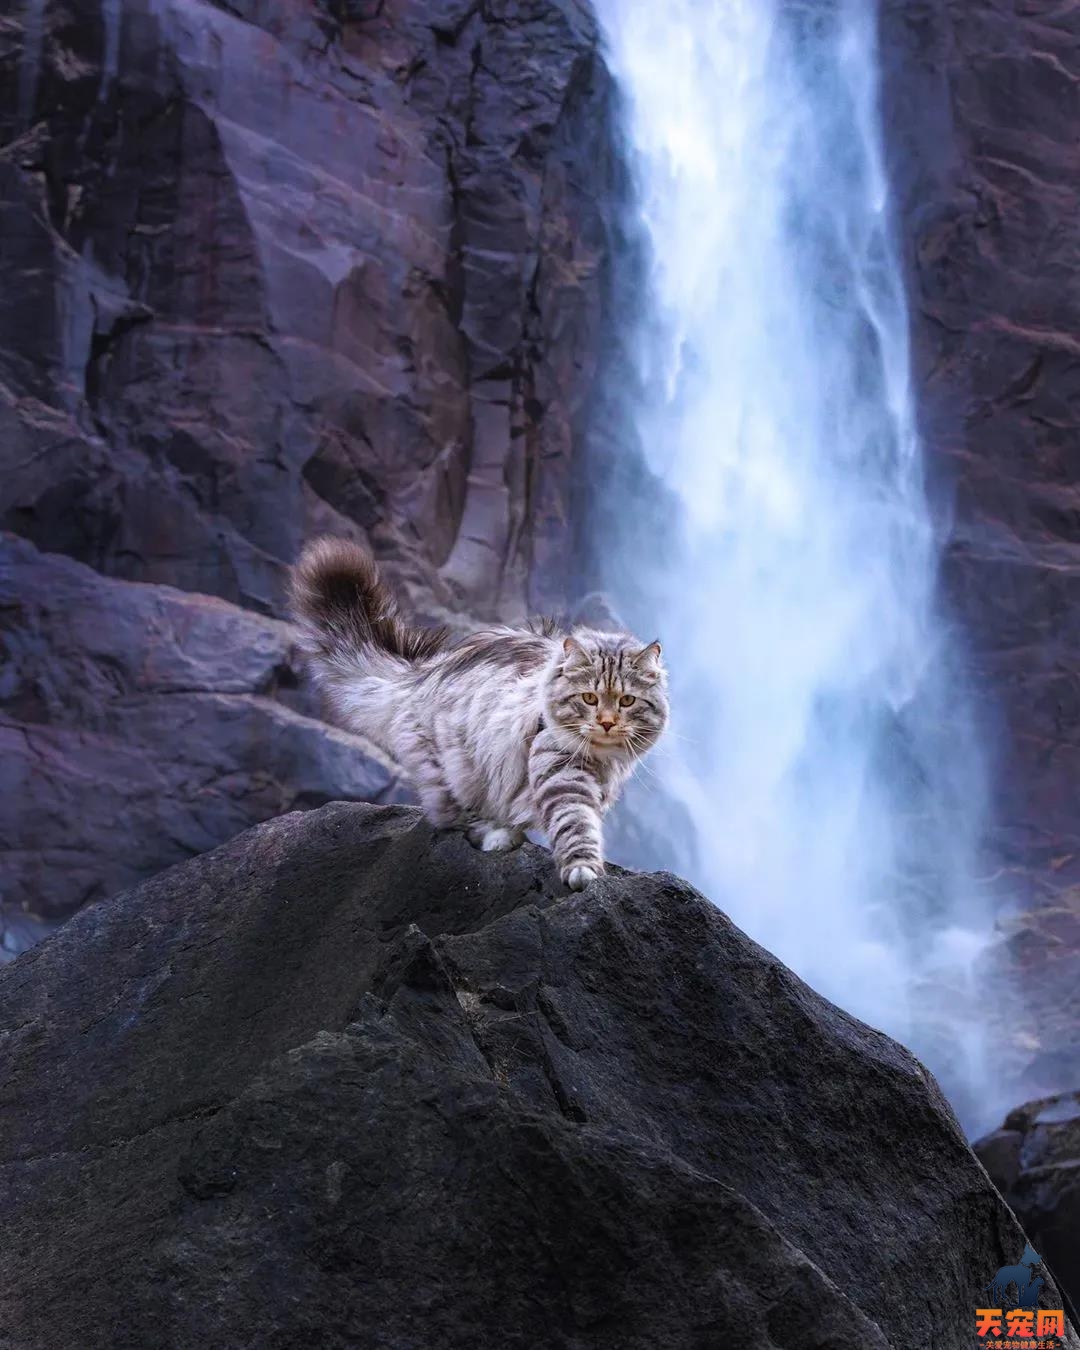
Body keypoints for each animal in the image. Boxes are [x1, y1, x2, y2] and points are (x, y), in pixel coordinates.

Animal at [286, 531, 666, 891]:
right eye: (589, 698)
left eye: (627, 701)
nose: (606, 723)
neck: (603, 760)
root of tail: (423, 672)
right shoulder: (561, 770)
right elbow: (575, 822)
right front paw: (583, 869)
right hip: (456, 766)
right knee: (452, 819)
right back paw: (499, 837)